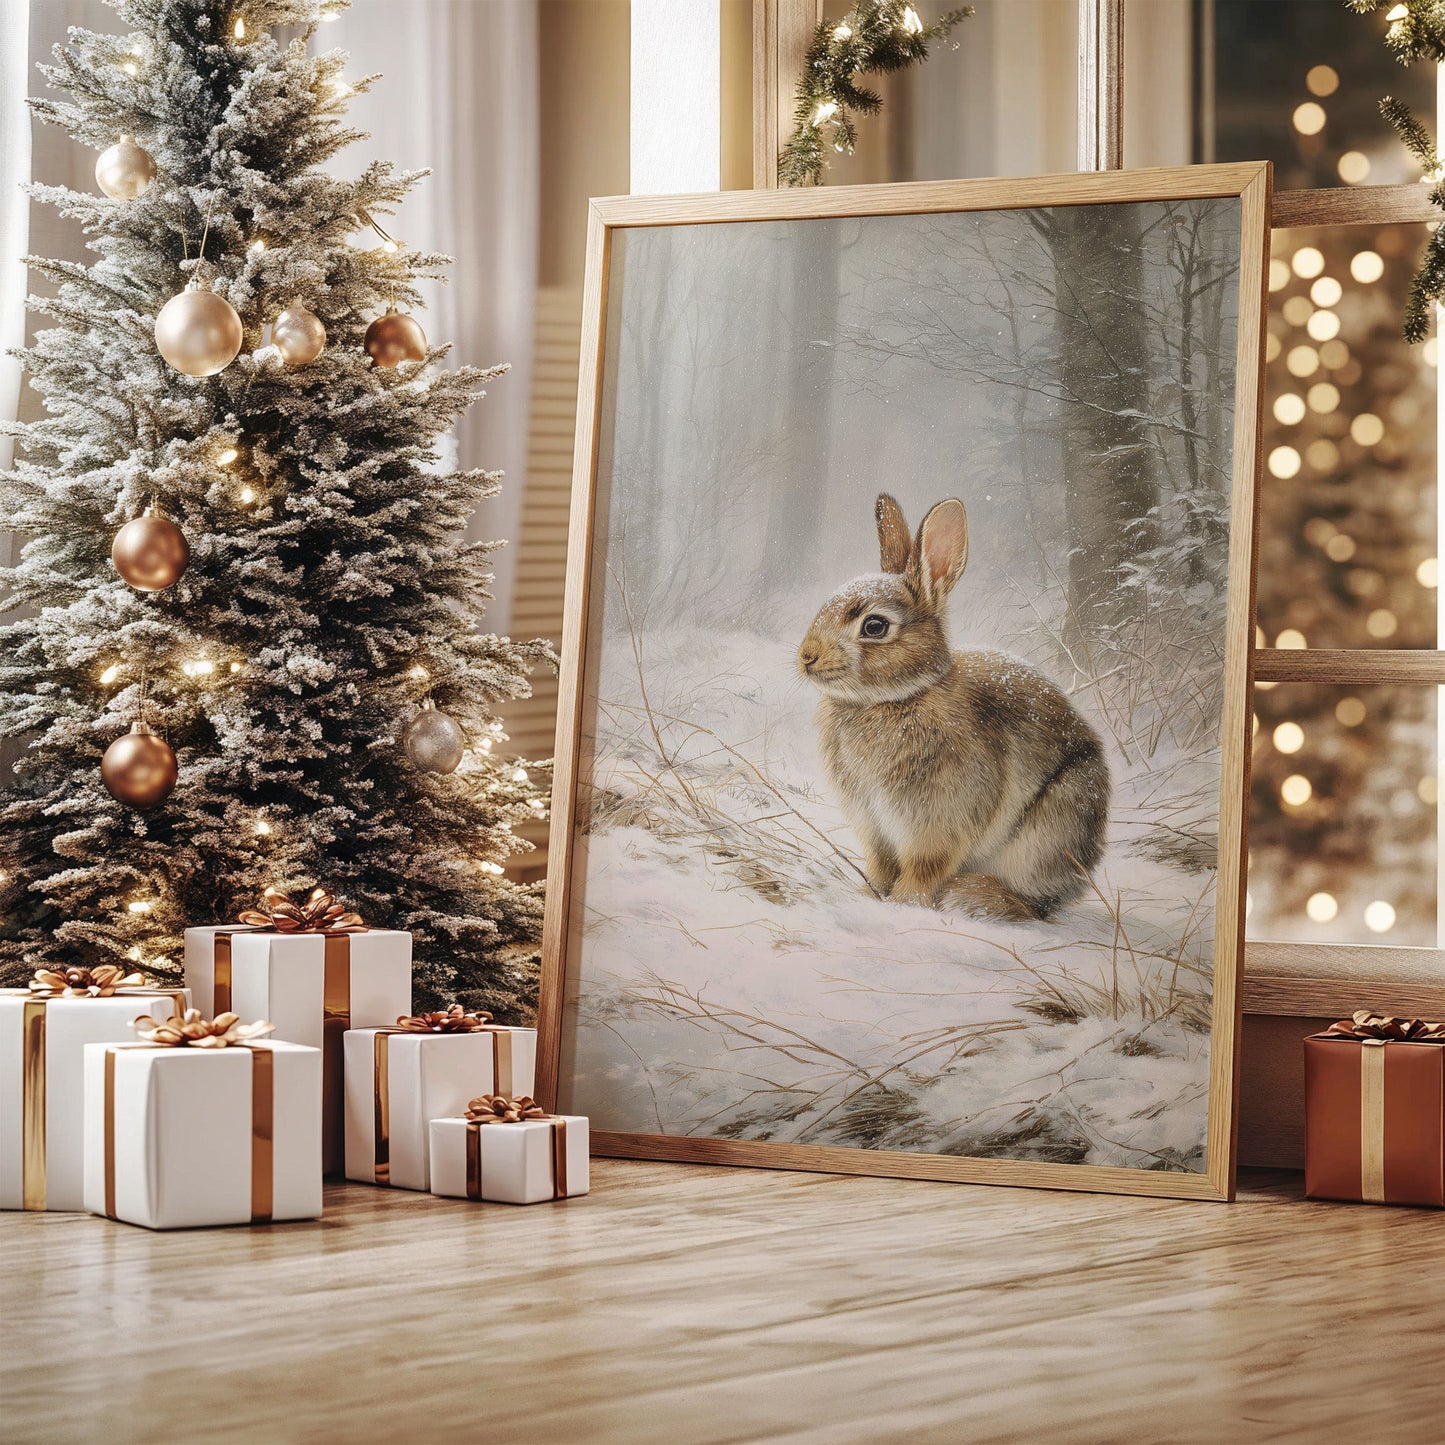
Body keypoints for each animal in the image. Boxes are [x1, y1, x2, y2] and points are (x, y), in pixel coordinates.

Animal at [796, 493, 1110, 921]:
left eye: (874, 626)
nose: (806, 657)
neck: (899, 697)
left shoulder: (940, 824)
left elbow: (923, 870)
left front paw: (904, 905)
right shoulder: (874, 828)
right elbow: (880, 866)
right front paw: (867, 895)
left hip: (1052, 827)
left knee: (1034, 904)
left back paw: (972, 896)